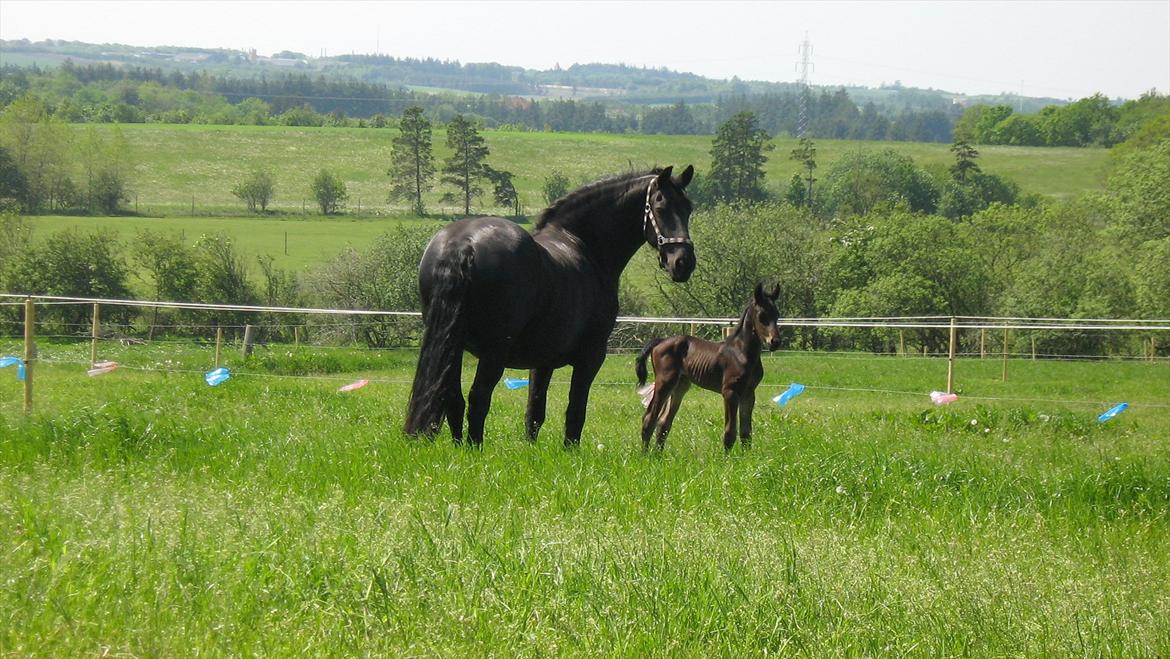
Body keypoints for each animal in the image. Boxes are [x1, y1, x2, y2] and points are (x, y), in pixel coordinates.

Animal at [404, 163, 692, 449]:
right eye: (660, 206)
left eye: (688, 208)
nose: (683, 263)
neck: (584, 245)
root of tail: (465, 243)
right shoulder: (591, 356)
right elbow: (575, 410)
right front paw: (570, 451)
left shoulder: (542, 361)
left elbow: (534, 412)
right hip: (494, 352)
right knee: (478, 399)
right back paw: (475, 450)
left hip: (453, 345)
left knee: (453, 397)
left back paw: (460, 448)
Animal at [636, 283, 781, 454]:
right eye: (762, 316)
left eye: (777, 315)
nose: (775, 342)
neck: (741, 353)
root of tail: (660, 342)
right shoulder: (730, 392)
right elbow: (730, 432)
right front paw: (727, 459)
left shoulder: (748, 393)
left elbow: (746, 433)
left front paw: (746, 458)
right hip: (665, 382)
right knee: (649, 418)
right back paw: (645, 455)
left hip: (680, 386)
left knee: (664, 422)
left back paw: (658, 455)